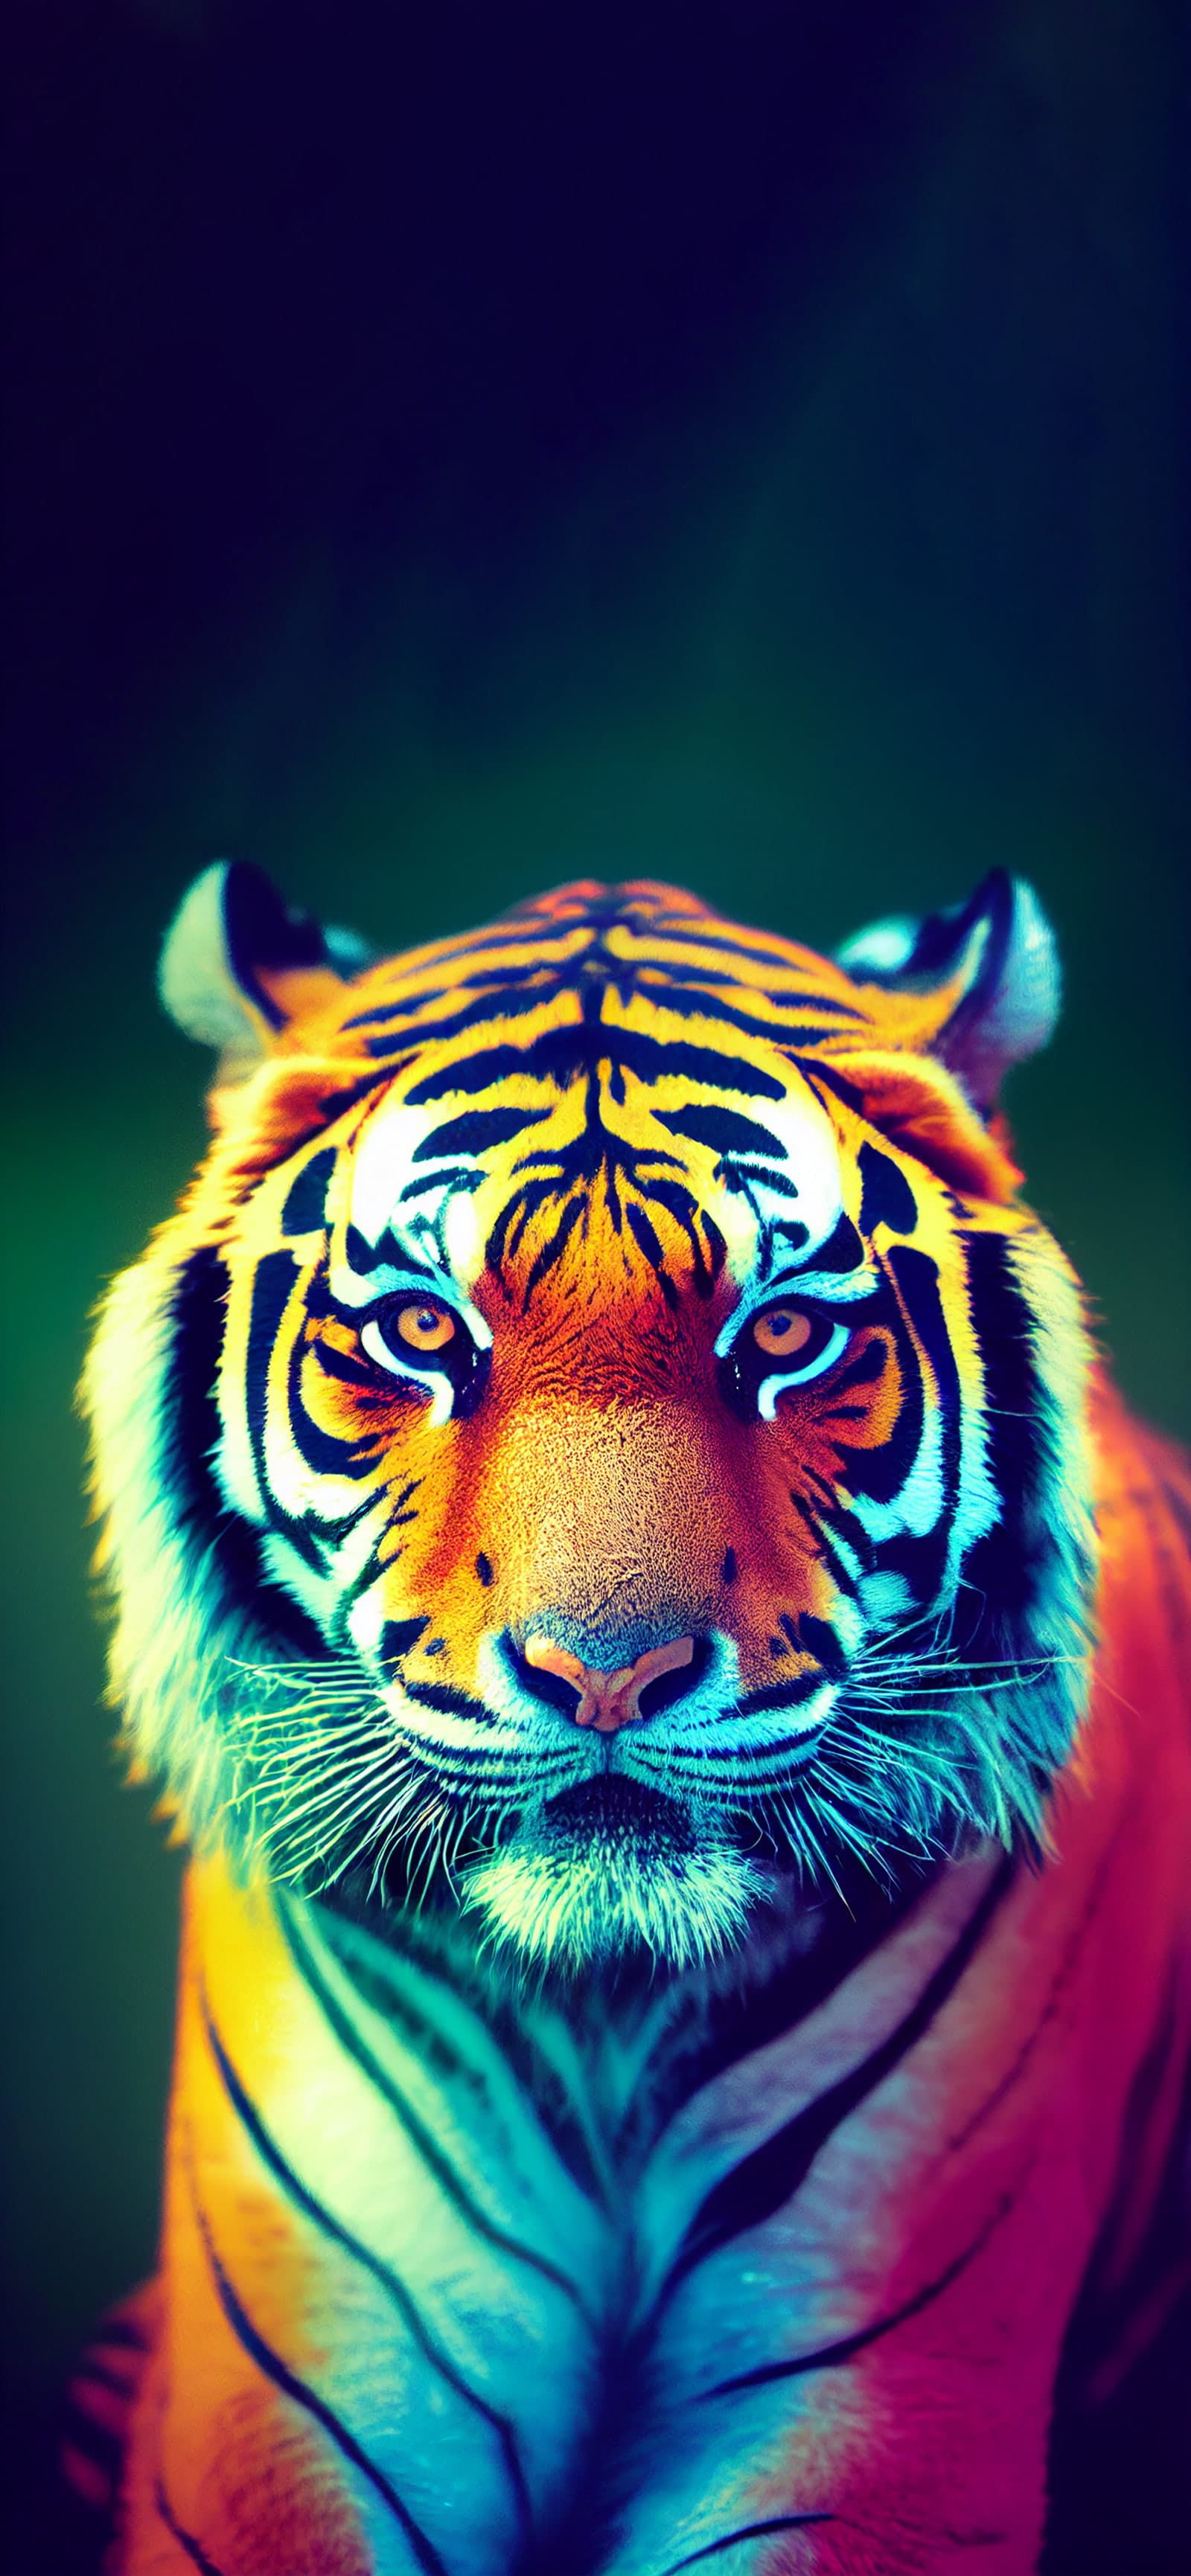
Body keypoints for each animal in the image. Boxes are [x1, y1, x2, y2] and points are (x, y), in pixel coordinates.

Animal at [76, 862, 1191, 2576]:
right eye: (421, 1331)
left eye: (784, 1335)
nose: (607, 1670)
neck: (602, 2009)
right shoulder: (298, 2390)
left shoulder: (863, 2413)